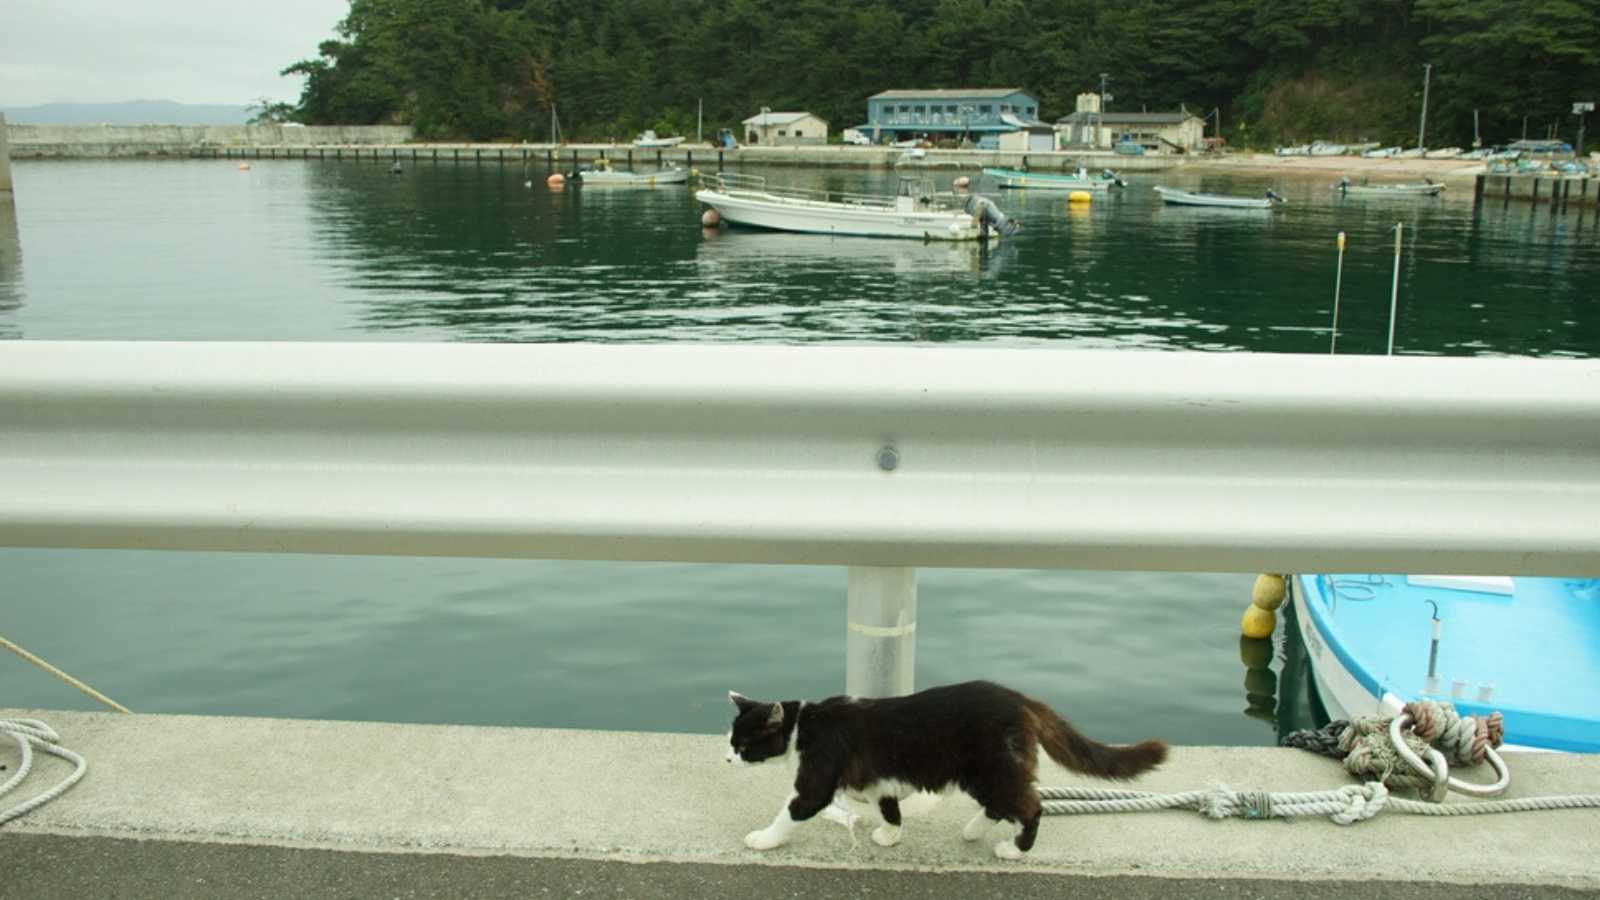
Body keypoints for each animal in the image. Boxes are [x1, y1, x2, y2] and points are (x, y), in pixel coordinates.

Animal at [732, 679, 1171, 851]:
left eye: (741, 745)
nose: (726, 757)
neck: (804, 725)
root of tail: (1020, 698)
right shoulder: (879, 780)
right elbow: (888, 808)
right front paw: (890, 836)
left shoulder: (817, 780)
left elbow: (791, 812)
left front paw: (763, 838)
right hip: (987, 773)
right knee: (1004, 804)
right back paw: (974, 831)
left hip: (988, 768)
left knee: (1030, 805)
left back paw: (1014, 849)